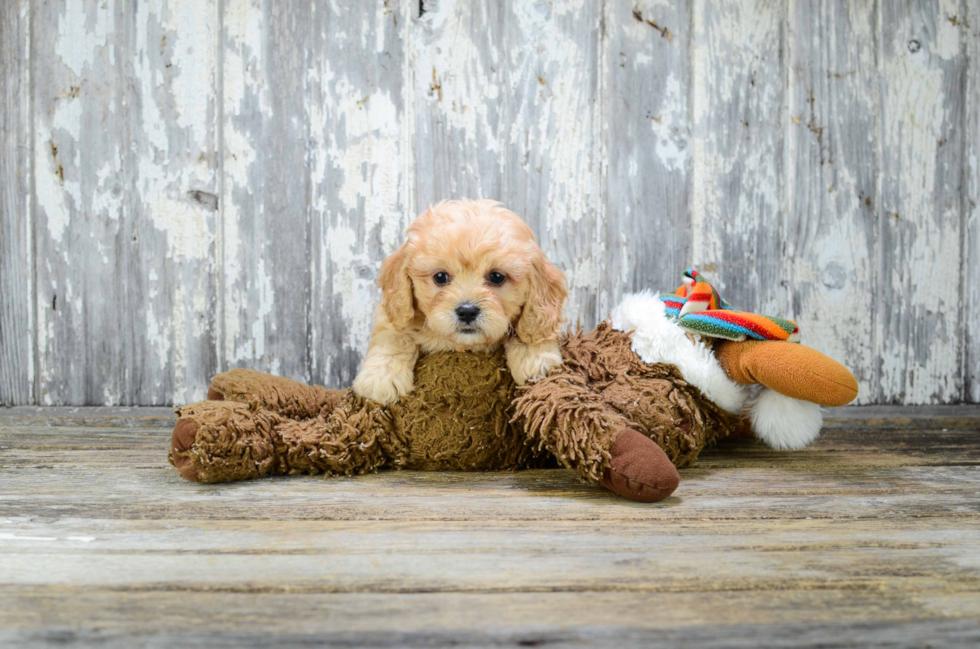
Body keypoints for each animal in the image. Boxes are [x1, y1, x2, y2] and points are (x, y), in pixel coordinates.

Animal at [352, 197, 568, 402]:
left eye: (497, 277)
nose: (467, 311)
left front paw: (537, 358)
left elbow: (530, 330)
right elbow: (394, 335)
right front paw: (382, 376)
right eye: (440, 277)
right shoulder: (393, 312)